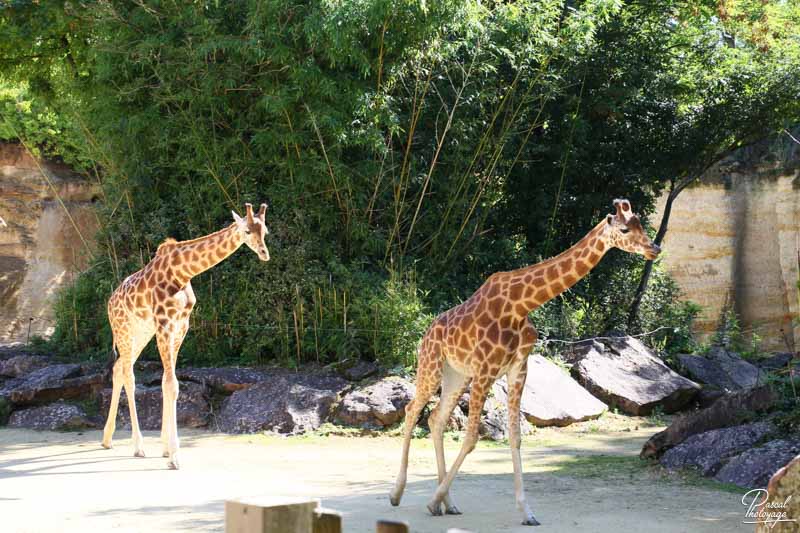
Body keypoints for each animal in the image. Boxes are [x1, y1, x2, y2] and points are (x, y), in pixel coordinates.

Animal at [101, 202, 270, 468]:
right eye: (246, 231)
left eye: (265, 231)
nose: (264, 253)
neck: (182, 273)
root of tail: (110, 302)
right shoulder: (164, 323)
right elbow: (171, 383)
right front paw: (175, 456)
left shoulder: (181, 325)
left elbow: (167, 382)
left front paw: (166, 448)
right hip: (124, 330)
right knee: (128, 373)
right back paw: (138, 446)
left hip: (141, 332)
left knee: (119, 368)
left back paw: (107, 439)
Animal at [390, 198, 664, 524]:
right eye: (624, 229)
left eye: (640, 224)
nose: (654, 249)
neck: (521, 305)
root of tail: (429, 330)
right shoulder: (486, 370)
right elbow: (471, 439)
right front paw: (431, 502)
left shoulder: (517, 368)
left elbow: (515, 437)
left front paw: (527, 511)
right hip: (432, 365)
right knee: (411, 411)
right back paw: (398, 494)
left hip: (456, 375)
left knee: (435, 418)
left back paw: (450, 503)